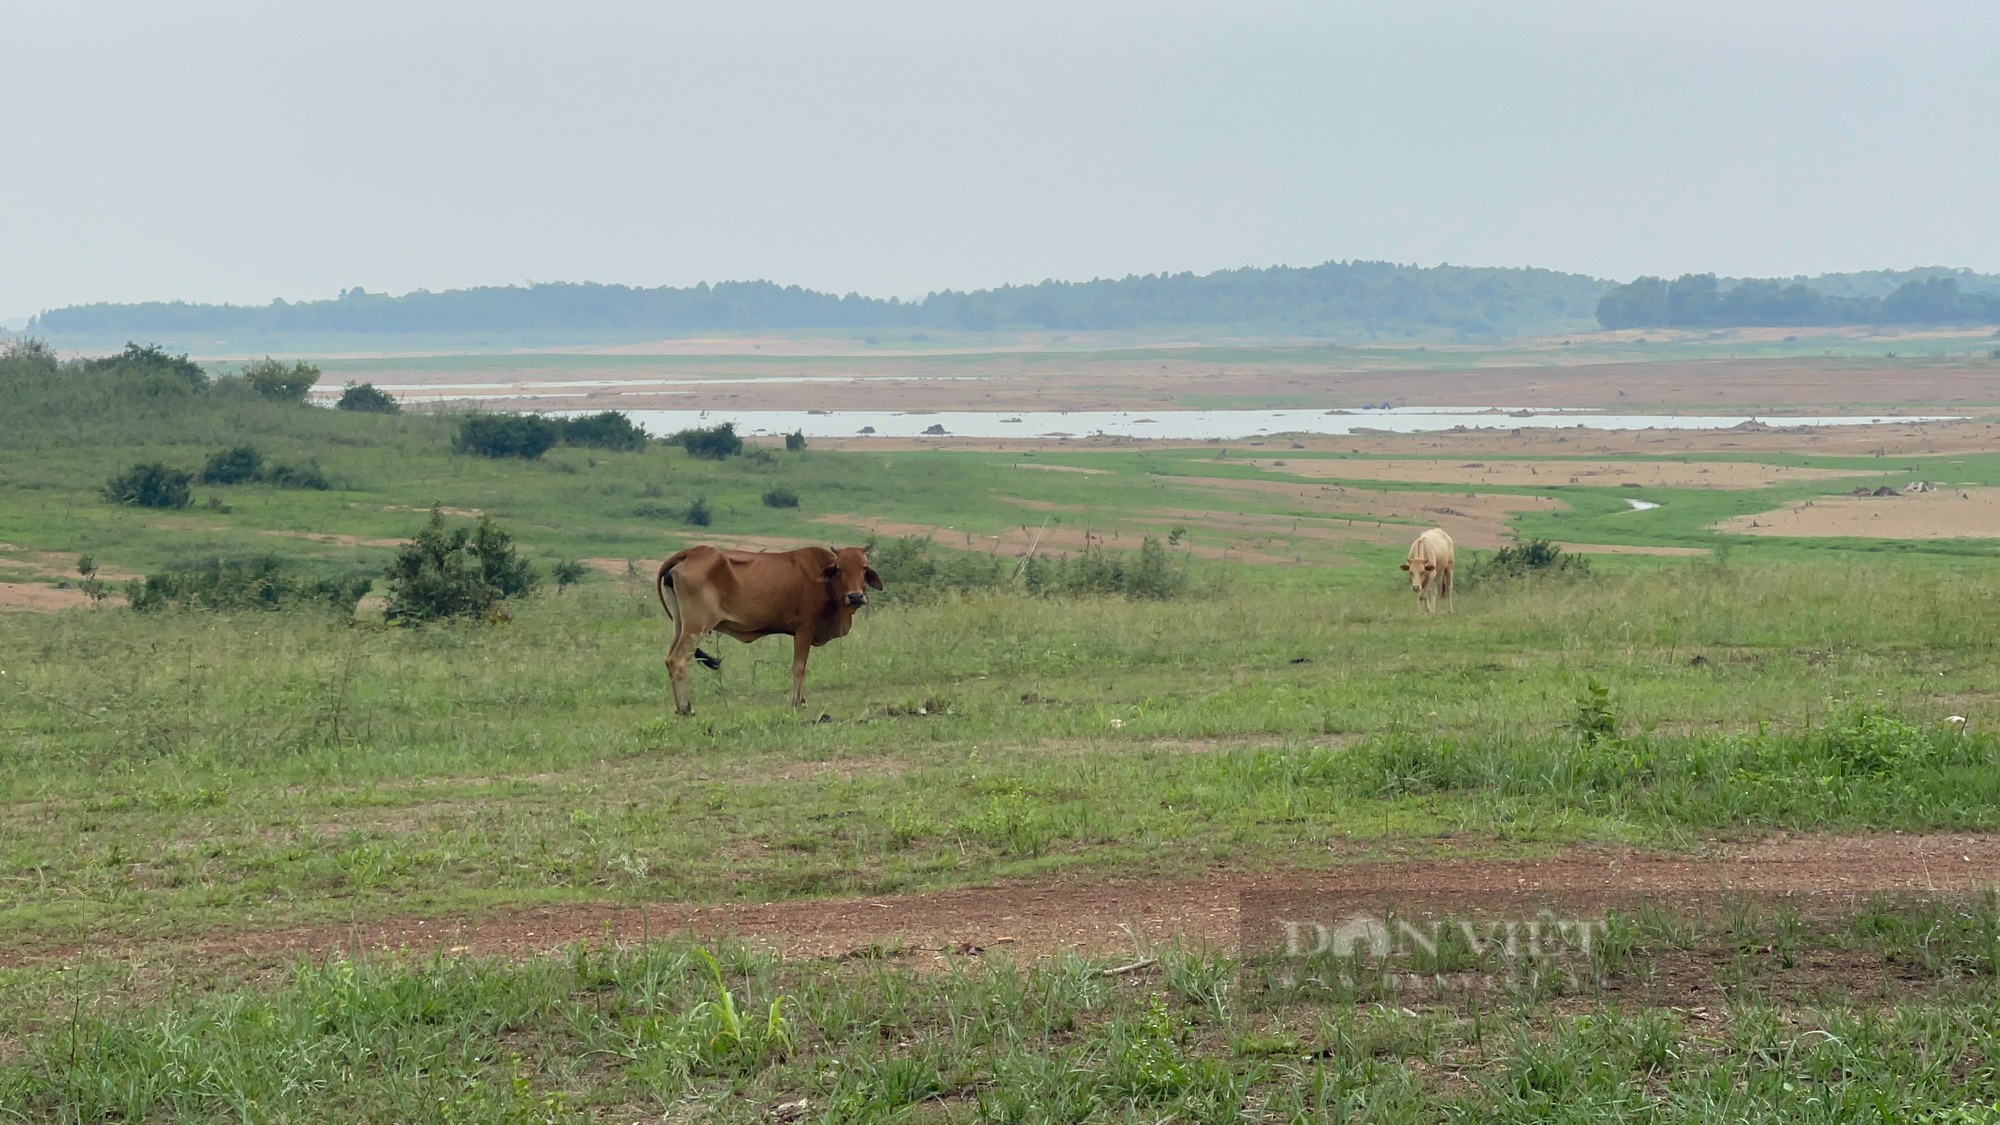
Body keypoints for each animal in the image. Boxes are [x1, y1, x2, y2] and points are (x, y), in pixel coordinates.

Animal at [656, 544, 884, 708]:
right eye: (840, 569)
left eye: (864, 568)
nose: (855, 596)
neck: (825, 583)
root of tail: (690, 553)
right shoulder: (805, 628)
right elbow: (799, 667)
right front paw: (796, 702)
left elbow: (803, 666)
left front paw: (802, 699)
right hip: (697, 625)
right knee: (678, 660)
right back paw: (686, 708)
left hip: (681, 625)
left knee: (669, 659)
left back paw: (679, 707)